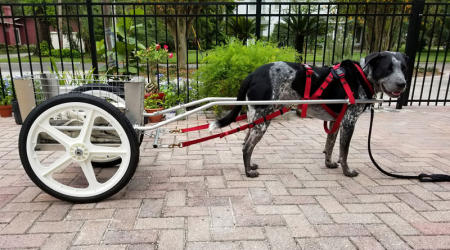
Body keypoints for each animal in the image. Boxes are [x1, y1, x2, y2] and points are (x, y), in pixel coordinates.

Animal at [209, 50, 410, 177]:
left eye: (403, 68)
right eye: (387, 68)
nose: (403, 84)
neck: (361, 76)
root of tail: (252, 74)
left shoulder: (335, 122)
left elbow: (330, 145)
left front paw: (329, 164)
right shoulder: (349, 122)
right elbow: (344, 152)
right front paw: (347, 172)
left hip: (256, 119)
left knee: (246, 144)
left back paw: (250, 165)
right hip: (262, 121)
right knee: (246, 147)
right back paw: (248, 172)